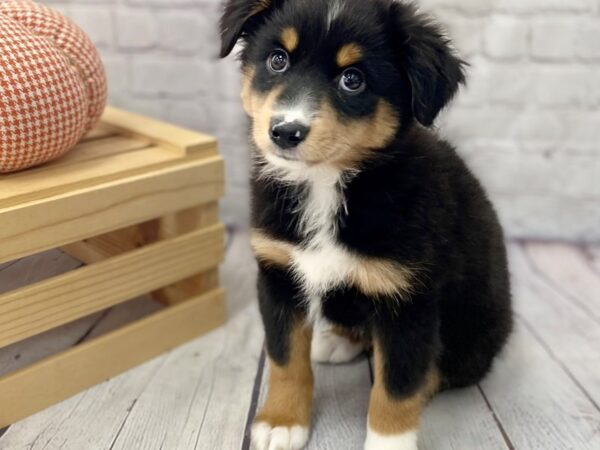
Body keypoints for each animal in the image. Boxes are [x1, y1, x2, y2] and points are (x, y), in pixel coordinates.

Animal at [220, 0, 510, 450]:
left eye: (352, 80)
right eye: (278, 59)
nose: (285, 131)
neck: (328, 183)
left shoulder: (409, 300)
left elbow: (396, 387)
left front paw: (388, 441)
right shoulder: (278, 273)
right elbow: (285, 359)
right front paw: (282, 421)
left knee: (441, 371)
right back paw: (338, 341)